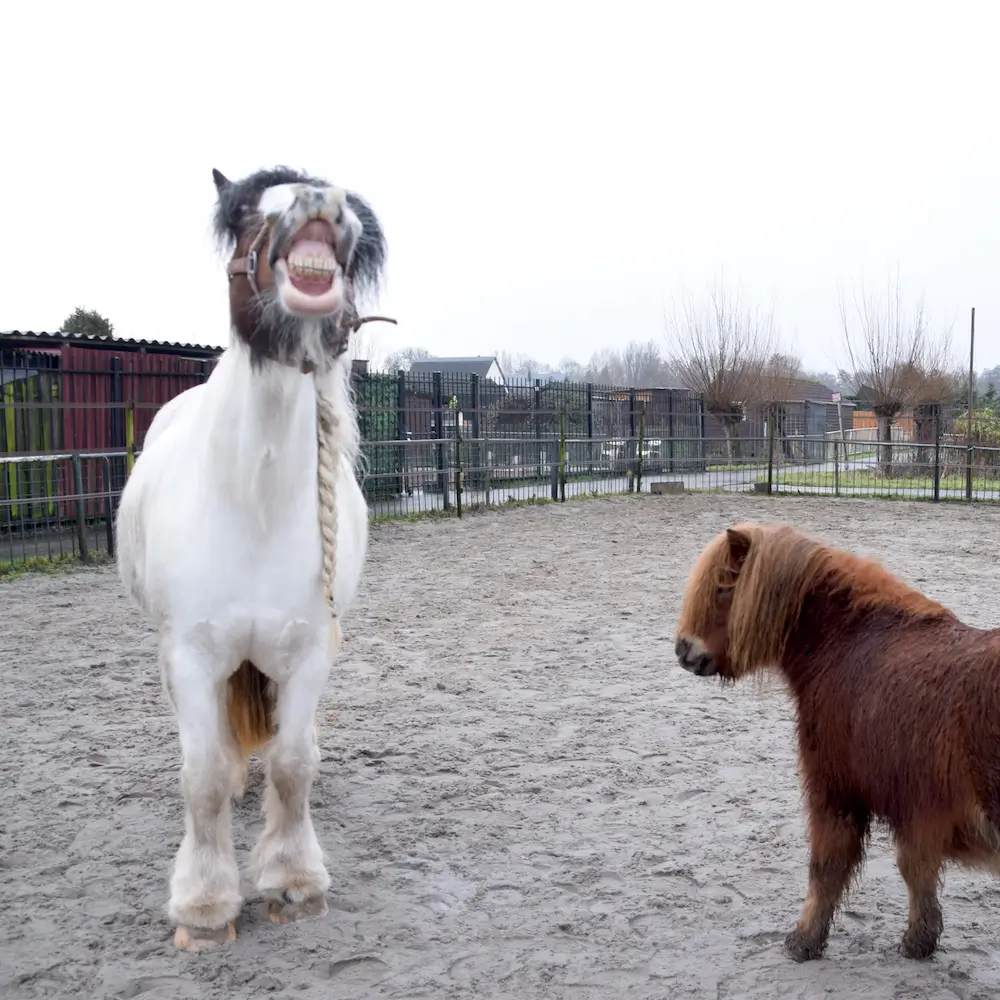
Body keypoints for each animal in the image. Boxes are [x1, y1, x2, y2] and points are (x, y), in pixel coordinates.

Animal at [115, 166, 390, 952]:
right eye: (244, 218)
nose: (320, 199)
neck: (255, 501)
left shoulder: (308, 650)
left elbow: (294, 766)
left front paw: (293, 881)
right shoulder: (192, 653)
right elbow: (204, 774)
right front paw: (205, 906)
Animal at [674, 520, 1000, 963]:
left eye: (724, 588)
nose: (683, 651)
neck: (853, 642)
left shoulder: (836, 791)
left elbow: (827, 869)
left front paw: (804, 941)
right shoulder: (914, 811)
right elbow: (917, 871)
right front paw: (920, 941)